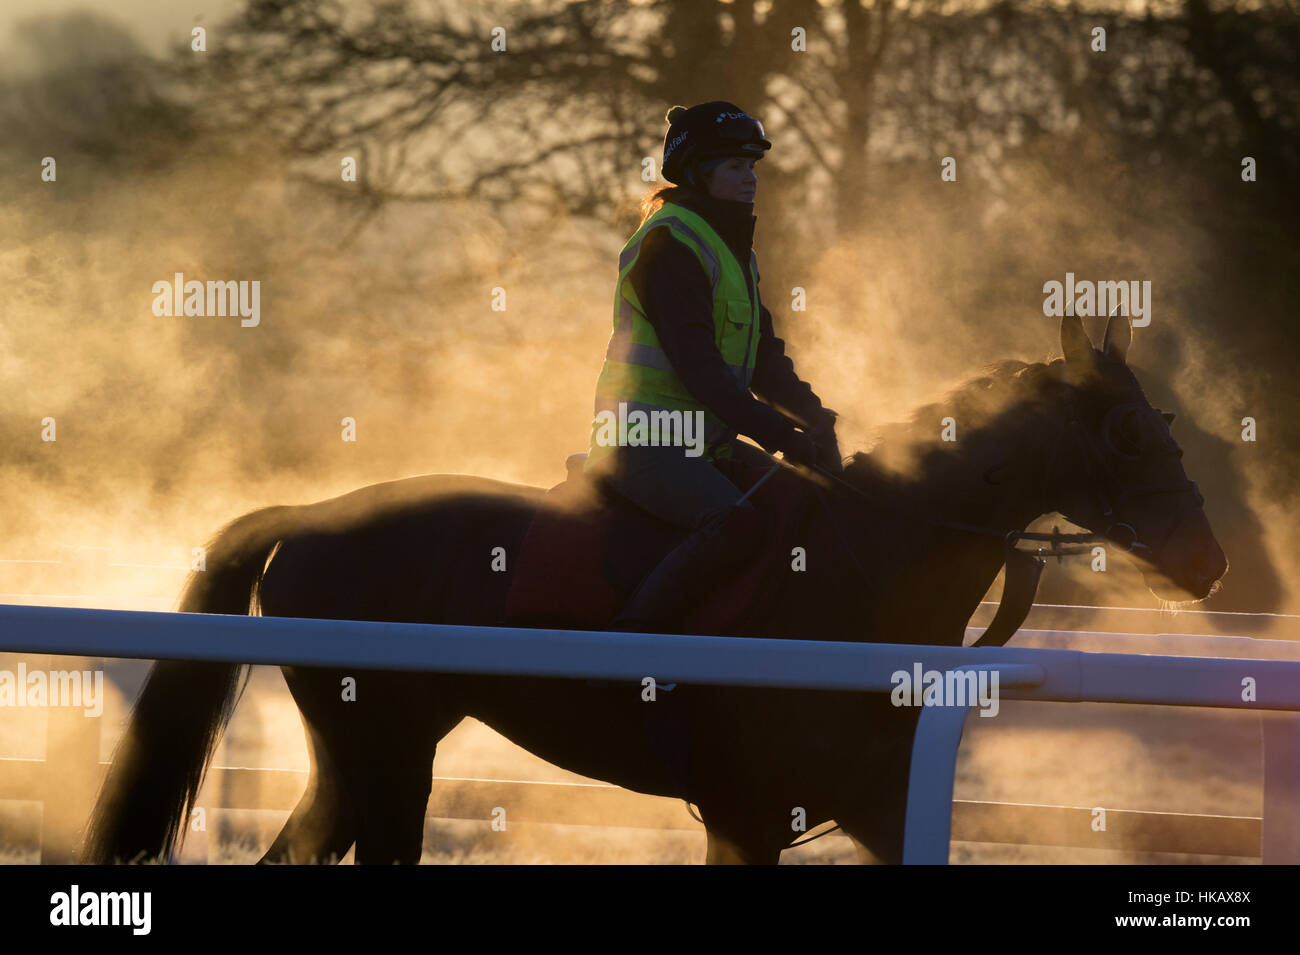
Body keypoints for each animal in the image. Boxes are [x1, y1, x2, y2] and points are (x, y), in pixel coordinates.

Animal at [82, 314, 1226, 865]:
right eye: (1128, 429)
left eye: (1165, 417)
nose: (1209, 557)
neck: (860, 577)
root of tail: (305, 519)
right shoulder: (748, 816)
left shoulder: (876, 803)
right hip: (380, 749)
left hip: (379, 755)